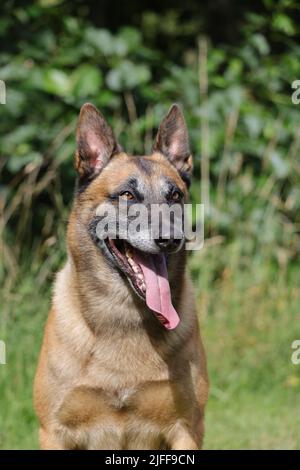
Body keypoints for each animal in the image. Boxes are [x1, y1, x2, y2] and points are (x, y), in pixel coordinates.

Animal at [33, 102, 209, 448]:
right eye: (127, 195)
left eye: (175, 196)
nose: (169, 239)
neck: (125, 319)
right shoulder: (54, 432)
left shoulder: (187, 428)